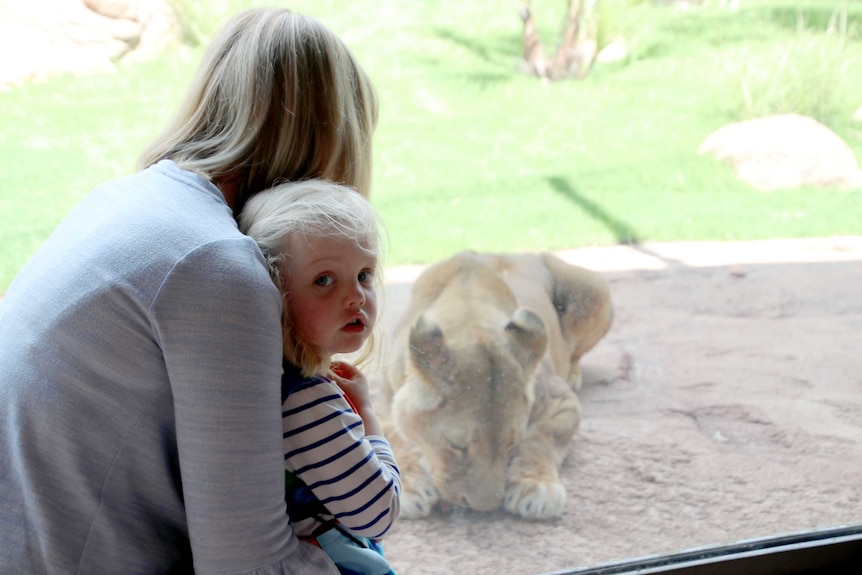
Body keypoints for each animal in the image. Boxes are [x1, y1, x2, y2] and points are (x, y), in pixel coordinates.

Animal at [380, 250, 616, 520]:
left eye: (511, 443)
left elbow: (542, 439)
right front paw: (410, 485)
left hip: (595, 290)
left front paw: (536, 487)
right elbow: (396, 438)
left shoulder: (560, 401)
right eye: (456, 446)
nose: (484, 509)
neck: (469, 314)